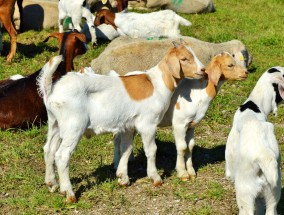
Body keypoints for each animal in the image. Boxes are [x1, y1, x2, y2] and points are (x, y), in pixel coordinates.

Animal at [38, 40, 206, 203]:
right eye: (184, 59)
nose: (203, 70)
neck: (156, 83)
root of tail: (52, 92)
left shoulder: (128, 126)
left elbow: (126, 148)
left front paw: (122, 177)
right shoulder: (148, 124)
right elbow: (151, 150)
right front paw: (155, 178)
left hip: (55, 124)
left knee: (49, 150)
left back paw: (52, 184)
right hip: (73, 126)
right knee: (62, 155)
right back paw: (69, 193)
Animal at [113, 51, 248, 179]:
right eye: (230, 65)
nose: (246, 73)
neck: (199, 92)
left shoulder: (192, 124)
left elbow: (190, 146)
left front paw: (192, 172)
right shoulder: (179, 123)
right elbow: (182, 147)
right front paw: (182, 173)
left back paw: (130, 159)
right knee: (116, 138)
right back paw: (116, 164)